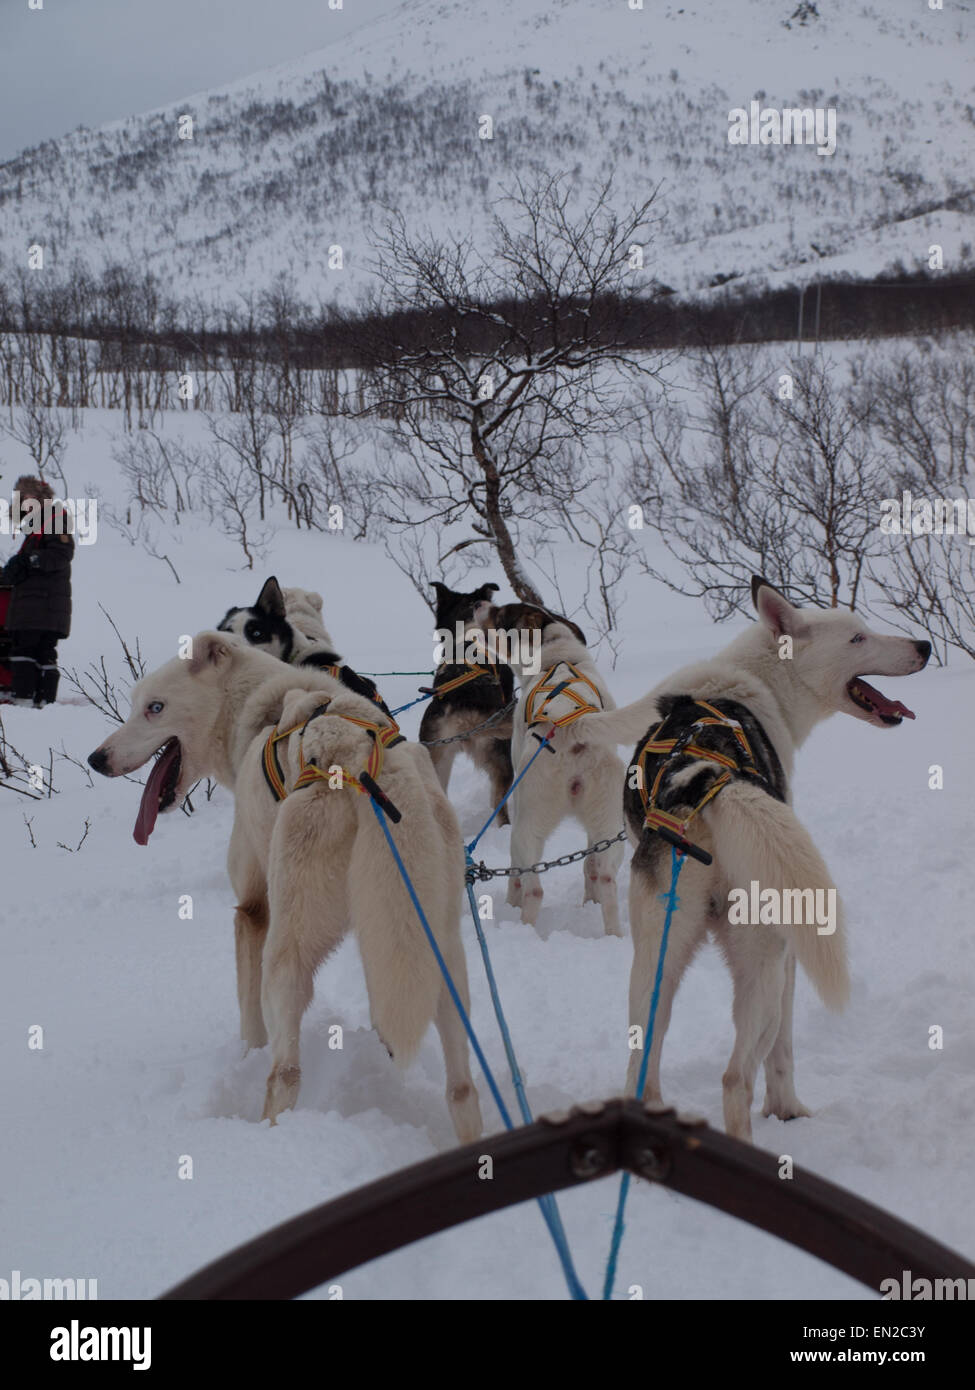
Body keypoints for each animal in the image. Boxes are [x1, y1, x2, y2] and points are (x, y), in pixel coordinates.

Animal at [85, 636, 481, 1145]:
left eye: (154, 708)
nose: (97, 758)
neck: (259, 709)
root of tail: (358, 762)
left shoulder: (253, 910)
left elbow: (249, 1017)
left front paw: (245, 1055)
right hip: (441, 950)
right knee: (462, 1088)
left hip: (287, 948)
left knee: (286, 1073)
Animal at [484, 606, 623, 939]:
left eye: (501, 614)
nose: (482, 607)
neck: (559, 656)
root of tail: (572, 729)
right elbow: (589, 868)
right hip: (610, 827)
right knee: (605, 878)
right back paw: (612, 931)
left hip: (526, 826)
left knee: (532, 887)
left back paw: (523, 929)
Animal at [573, 575, 929, 1139]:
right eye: (857, 637)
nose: (925, 646)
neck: (751, 684)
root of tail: (707, 780)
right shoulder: (789, 959)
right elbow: (783, 1051)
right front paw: (787, 1108)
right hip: (765, 960)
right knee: (735, 1076)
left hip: (655, 960)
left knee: (643, 1056)